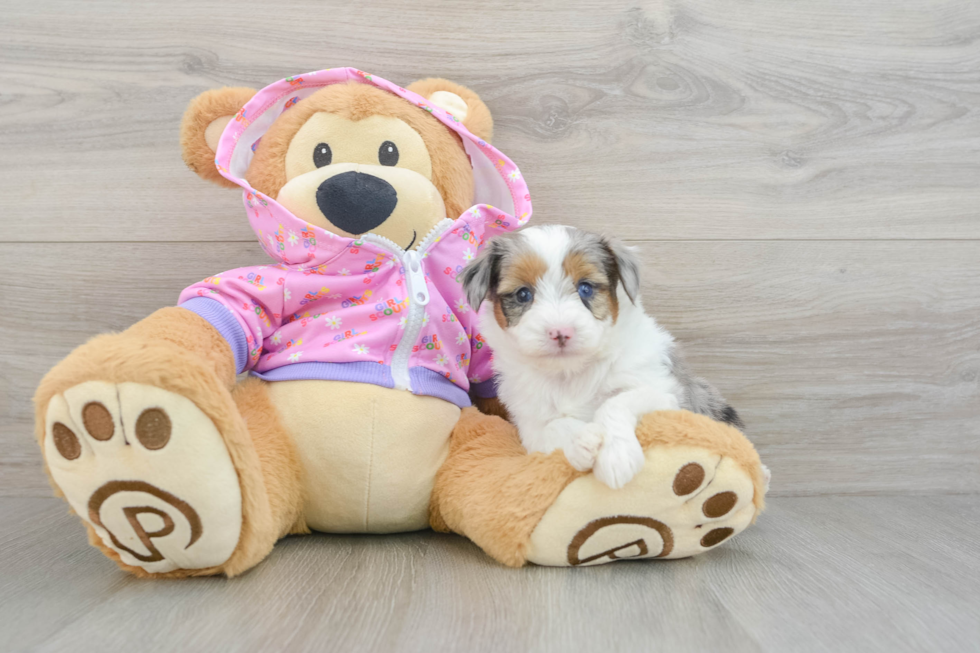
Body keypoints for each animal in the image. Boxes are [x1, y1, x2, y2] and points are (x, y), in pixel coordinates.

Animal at [460, 227, 744, 486]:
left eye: (585, 288)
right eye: (522, 294)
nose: (560, 332)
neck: (570, 372)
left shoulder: (664, 393)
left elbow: (616, 402)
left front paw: (617, 456)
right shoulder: (530, 427)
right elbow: (553, 427)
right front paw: (582, 440)